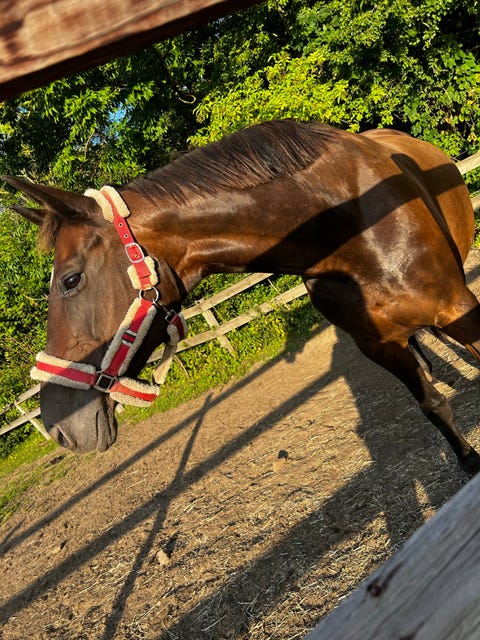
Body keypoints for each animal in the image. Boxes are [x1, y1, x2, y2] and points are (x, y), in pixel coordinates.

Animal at [4, 119, 480, 474]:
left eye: (70, 280)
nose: (60, 430)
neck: (352, 226)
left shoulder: (461, 310)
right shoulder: (377, 345)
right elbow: (432, 403)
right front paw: (466, 459)